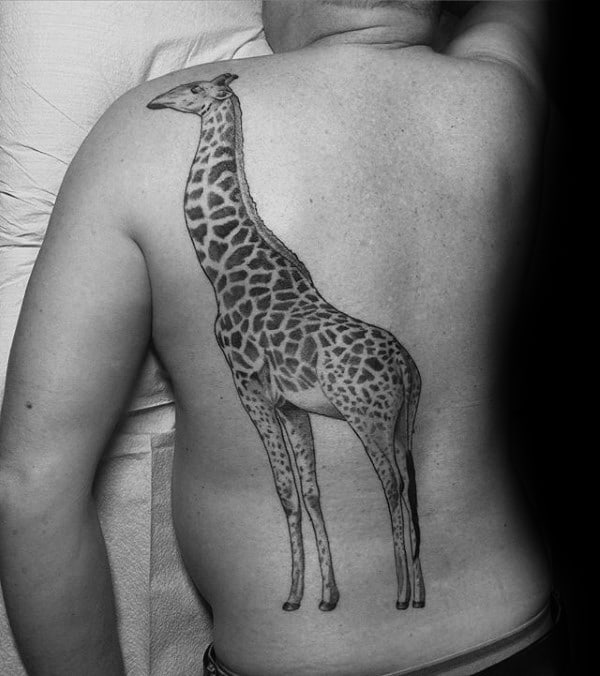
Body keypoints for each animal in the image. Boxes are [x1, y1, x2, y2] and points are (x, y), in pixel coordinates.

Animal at [147, 73, 425, 611]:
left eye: (192, 89)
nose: (154, 102)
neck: (223, 266)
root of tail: (406, 364)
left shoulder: (247, 385)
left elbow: (283, 491)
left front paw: (293, 595)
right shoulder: (292, 404)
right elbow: (312, 491)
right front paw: (327, 595)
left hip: (367, 415)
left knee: (392, 482)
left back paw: (401, 594)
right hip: (402, 417)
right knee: (410, 479)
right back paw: (421, 593)